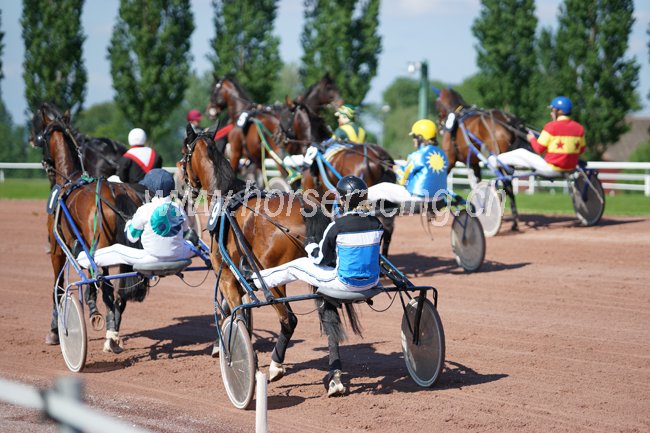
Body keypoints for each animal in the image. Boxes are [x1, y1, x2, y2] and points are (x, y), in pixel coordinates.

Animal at [30, 102, 147, 351]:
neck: (70, 178)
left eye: (40, 129)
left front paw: (55, 330)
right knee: (119, 293)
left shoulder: (57, 247)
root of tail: (116, 191)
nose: (32, 140)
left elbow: (58, 287)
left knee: (108, 288)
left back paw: (107, 332)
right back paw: (113, 334)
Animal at [182, 122, 361, 382]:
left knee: (288, 319)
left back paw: (276, 364)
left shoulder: (226, 277)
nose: (186, 189)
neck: (226, 197)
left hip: (272, 278)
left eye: (183, 155)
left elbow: (233, 315)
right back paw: (334, 376)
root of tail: (306, 207)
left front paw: (231, 353)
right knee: (328, 317)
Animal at [433, 86, 532, 230]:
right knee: (509, 183)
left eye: (436, 105)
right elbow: (478, 181)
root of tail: (508, 120)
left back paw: (512, 221)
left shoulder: (449, 160)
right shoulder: (475, 163)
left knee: (507, 184)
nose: (440, 125)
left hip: (498, 157)